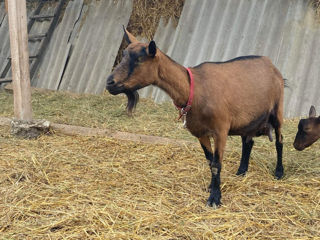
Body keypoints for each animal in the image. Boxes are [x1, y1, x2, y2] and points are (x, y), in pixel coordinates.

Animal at [106, 29, 284, 207]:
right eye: (123, 55)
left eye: (139, 60)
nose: (109, 83)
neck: (194, 89)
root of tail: (271, 64)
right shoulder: (200, 133)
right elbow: (210, 161)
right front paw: (211, 186)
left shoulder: (221, 130)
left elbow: (216, 164)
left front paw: (215, 198)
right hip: (248, 118)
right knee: (248, 142)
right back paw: (241, 171)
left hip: (277, 109)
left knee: (279, 140)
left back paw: (279, 172)